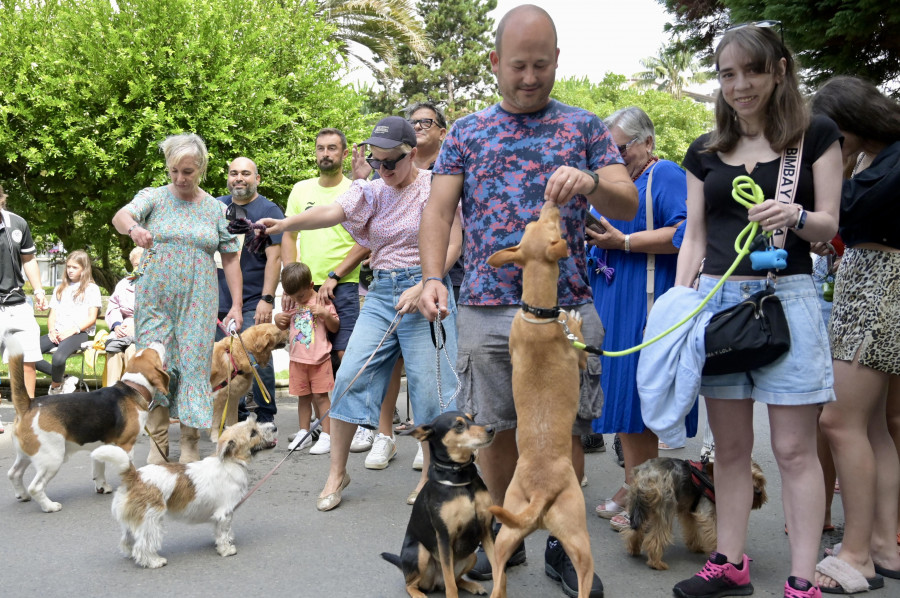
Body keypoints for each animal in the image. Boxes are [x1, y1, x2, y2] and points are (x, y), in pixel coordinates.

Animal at [6, 340, 171, 512]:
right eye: (154, 352)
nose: (157, 341)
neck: (133, 388)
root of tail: (29, 404)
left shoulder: (101, 446)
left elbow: (99, 469)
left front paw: (102, 487)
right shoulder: (127, 446)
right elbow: (128, 467)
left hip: (27, 454)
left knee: (13, 473)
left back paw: (22, 495)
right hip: (52, 459)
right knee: (35, 487)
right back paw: (49, 506)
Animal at [91, 414, 276, 568]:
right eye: (253, 433)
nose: (274, 427)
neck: (231, 462)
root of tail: (135, 475)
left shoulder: (221, 516)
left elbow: (221, 531)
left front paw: (226, 541)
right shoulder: (224, 513)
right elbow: (223, 533)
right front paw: (226, 549)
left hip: (135, 522)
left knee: (127, 540)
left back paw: (131, 554)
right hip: (151, 522)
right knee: (142, 546)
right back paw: (153, 561)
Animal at [378, 412, 496, 598]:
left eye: (472, 418)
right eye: (459, 425)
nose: (491, 429)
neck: (459, 477)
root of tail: (435, 583)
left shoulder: (486, 529)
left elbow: (499, 570)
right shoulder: (444, 537)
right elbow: (450, 585)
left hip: (472, 556)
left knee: (457, 579)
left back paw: (472, 586)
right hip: (420, 552)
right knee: (411, 584)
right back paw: (419, 594)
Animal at [486, 203, 596, 598]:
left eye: (533, 222)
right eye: (551, 225)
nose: (551, 203)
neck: (537, 312)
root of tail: (539, 493)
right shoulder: (579, 356)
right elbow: (579, 341)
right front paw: (573, 319)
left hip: (507, 531)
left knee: (498, 580)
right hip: (578, 533)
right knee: (584, 578)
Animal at [624, 460, 768, 572]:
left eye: (760, 480)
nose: (758, 492)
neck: (714, 480)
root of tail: (646, 476)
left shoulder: (689, 511)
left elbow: (692, 529)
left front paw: (695, 546)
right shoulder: (707, 513)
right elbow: (714, 533)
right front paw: (718, 552)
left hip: (639, 506)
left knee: (635, 529)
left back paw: (634, 547)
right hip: (665, 505)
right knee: (655, 538)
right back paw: (656, 563)